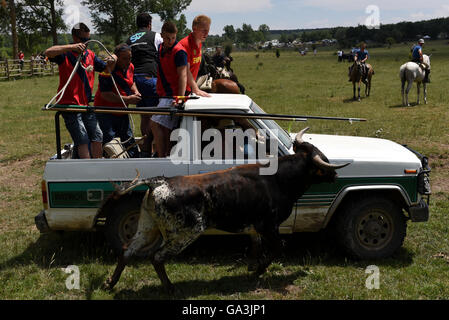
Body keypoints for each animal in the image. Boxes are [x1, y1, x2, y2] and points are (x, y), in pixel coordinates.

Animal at [102, 127, 350, 292]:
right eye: (322, 160)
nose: (336, 174)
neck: (279, 179)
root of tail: (159, 182)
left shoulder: (256, 227)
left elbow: (256, 246)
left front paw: (252, 266)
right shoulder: (269, 226)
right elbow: (278, 247)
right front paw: (259, 270)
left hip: (147, 226)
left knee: (127, 250)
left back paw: (111, 283)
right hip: (186, 231)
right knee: (157, 257)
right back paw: (170, 288)